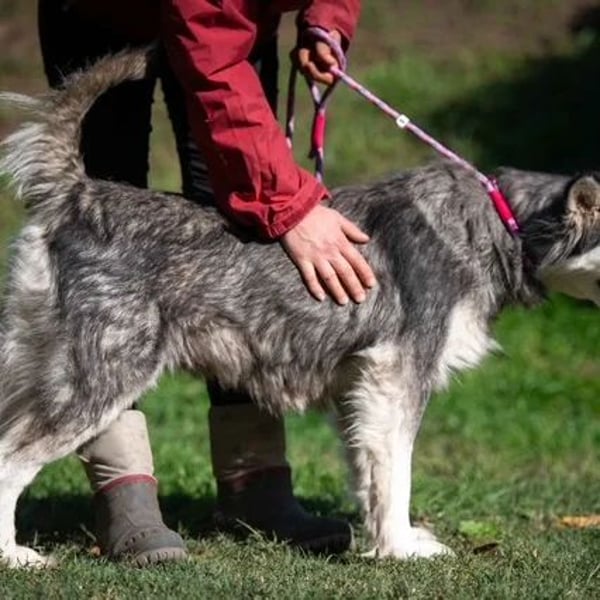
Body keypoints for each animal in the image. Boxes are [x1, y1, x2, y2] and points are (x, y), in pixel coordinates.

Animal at [0, 49, 599, 568]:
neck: (497, 223)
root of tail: (78, 195)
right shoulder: (396, 378)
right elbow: (398, 473)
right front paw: (403, 548)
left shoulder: (359, 390)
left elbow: (370, 472)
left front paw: (381, 540)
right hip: (99, 377)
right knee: (11, 460)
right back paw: (15, 556)